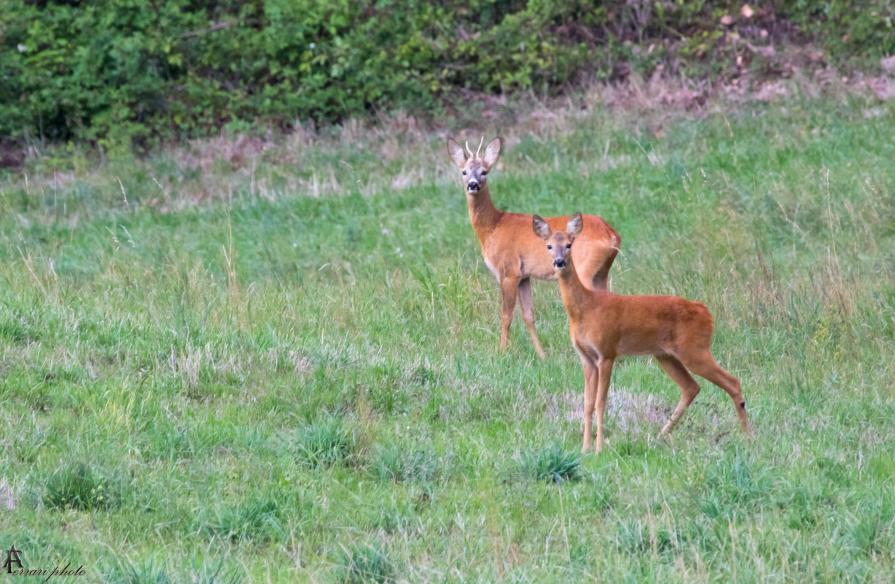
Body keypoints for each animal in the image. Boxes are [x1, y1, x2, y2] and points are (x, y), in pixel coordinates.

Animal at [448, 137, 624, 358]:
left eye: (484, 171)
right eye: (464, 171)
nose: (473, 185)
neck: (492, 227)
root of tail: (612, 235)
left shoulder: (509, 271)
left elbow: (506, 315)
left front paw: (502, 352)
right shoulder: (524, 276)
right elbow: (528, 316)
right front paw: (542, 355)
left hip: (585, 268)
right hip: (602, 271)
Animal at [536, 212, 752, 454]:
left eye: (569, 245)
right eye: (548, 246)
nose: (559, 262)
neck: (584, 310)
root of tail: (706, 312)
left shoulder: (607, 352)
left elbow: (601, 401)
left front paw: (599, 448)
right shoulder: (586, 357)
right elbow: (587, 403)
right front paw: (585, 448)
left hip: (694, 349)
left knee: (732, 381)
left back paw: (747, 435)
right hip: (665, 355)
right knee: (691, 387)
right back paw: (661, 435)